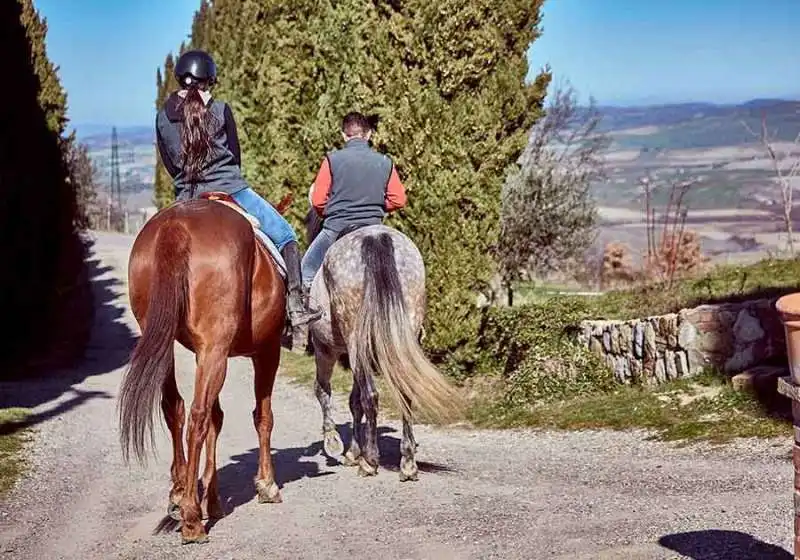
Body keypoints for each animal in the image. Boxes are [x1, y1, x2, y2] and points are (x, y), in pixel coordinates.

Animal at [117, 192, 292, 544]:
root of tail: (176, 225)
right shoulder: (265, 351)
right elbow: (262, 416)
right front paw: (266, 485)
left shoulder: (208, 352)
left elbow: (217, 418)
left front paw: (211, 498)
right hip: (216, 349)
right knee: (197, 416)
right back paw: (192, 520)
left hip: (169, 342)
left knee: (176, 407)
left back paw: (179, 494)